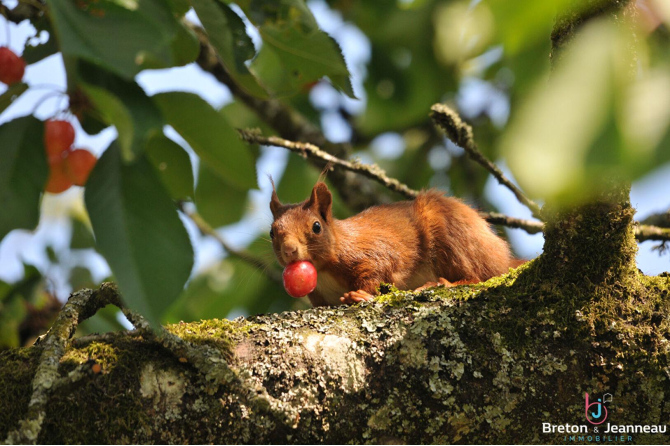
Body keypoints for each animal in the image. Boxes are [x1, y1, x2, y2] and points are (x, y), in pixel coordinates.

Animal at [270, 181, 524, 306]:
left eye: (316, 226)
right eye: (272, 232)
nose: (289, 250)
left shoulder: (372, 250)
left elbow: (378, 270)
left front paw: (359, 295)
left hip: (454, 235)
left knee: (480, 275)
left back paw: (443, 284)